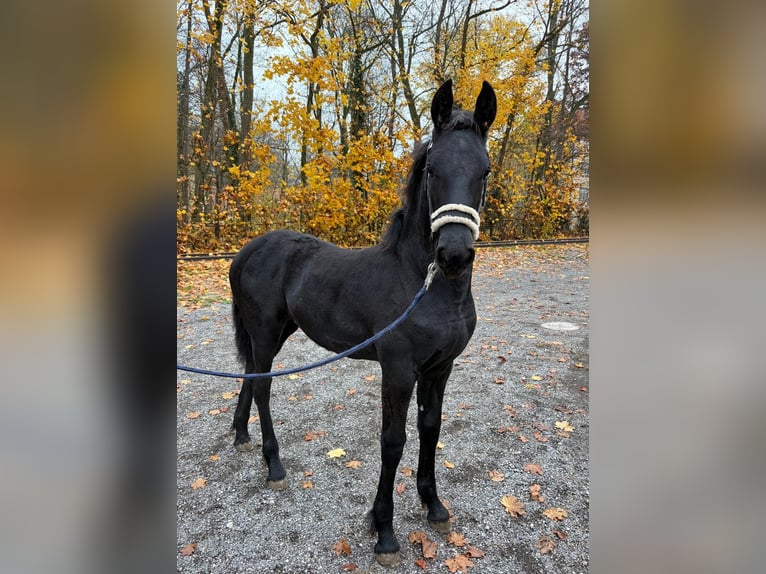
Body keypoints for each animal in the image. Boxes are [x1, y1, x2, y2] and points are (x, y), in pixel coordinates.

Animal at [228, 79, 496, 566]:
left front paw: (434, 506)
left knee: (249, 376)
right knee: (262, 388)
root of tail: (247, 251)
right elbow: (393, 442)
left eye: (484, 171)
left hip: (275, 333)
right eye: (432, 169)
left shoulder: (439, 369)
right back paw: (274, 465)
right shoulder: (399, 370)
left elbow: (431, 430)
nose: (453, 255)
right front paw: (384, 531)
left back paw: (241, 437)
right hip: (265, 332)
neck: (424, 285)